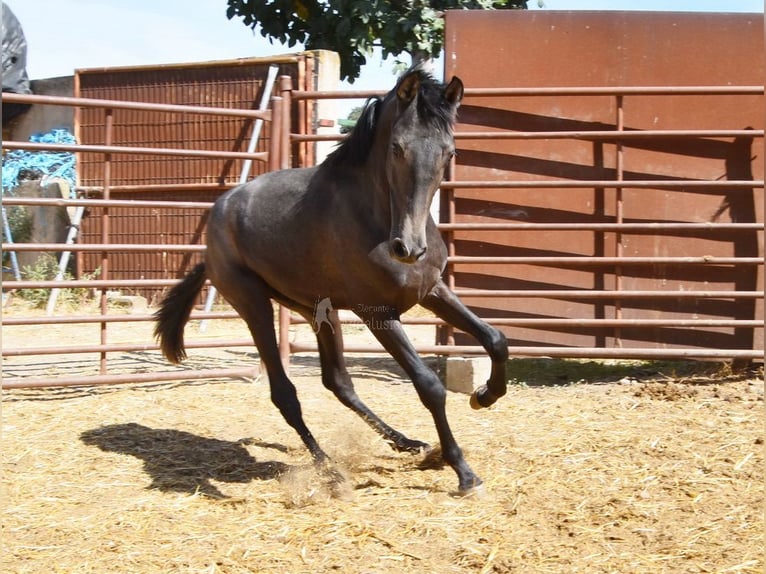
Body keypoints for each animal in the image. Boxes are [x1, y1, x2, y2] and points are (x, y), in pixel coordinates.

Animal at [154, 67, 510, 496]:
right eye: (397, 148)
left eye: (449, 152)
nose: (408, 249)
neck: (375, 218)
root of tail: (216, 218)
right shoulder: (377, 313)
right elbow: (429, 384)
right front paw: (463, 471)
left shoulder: (432, 291)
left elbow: (495, 339)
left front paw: (484, 396)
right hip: (253, 304)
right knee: (285, 393)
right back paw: (328, 469)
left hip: (317, 311)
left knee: (338, 382)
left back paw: (406, 442)